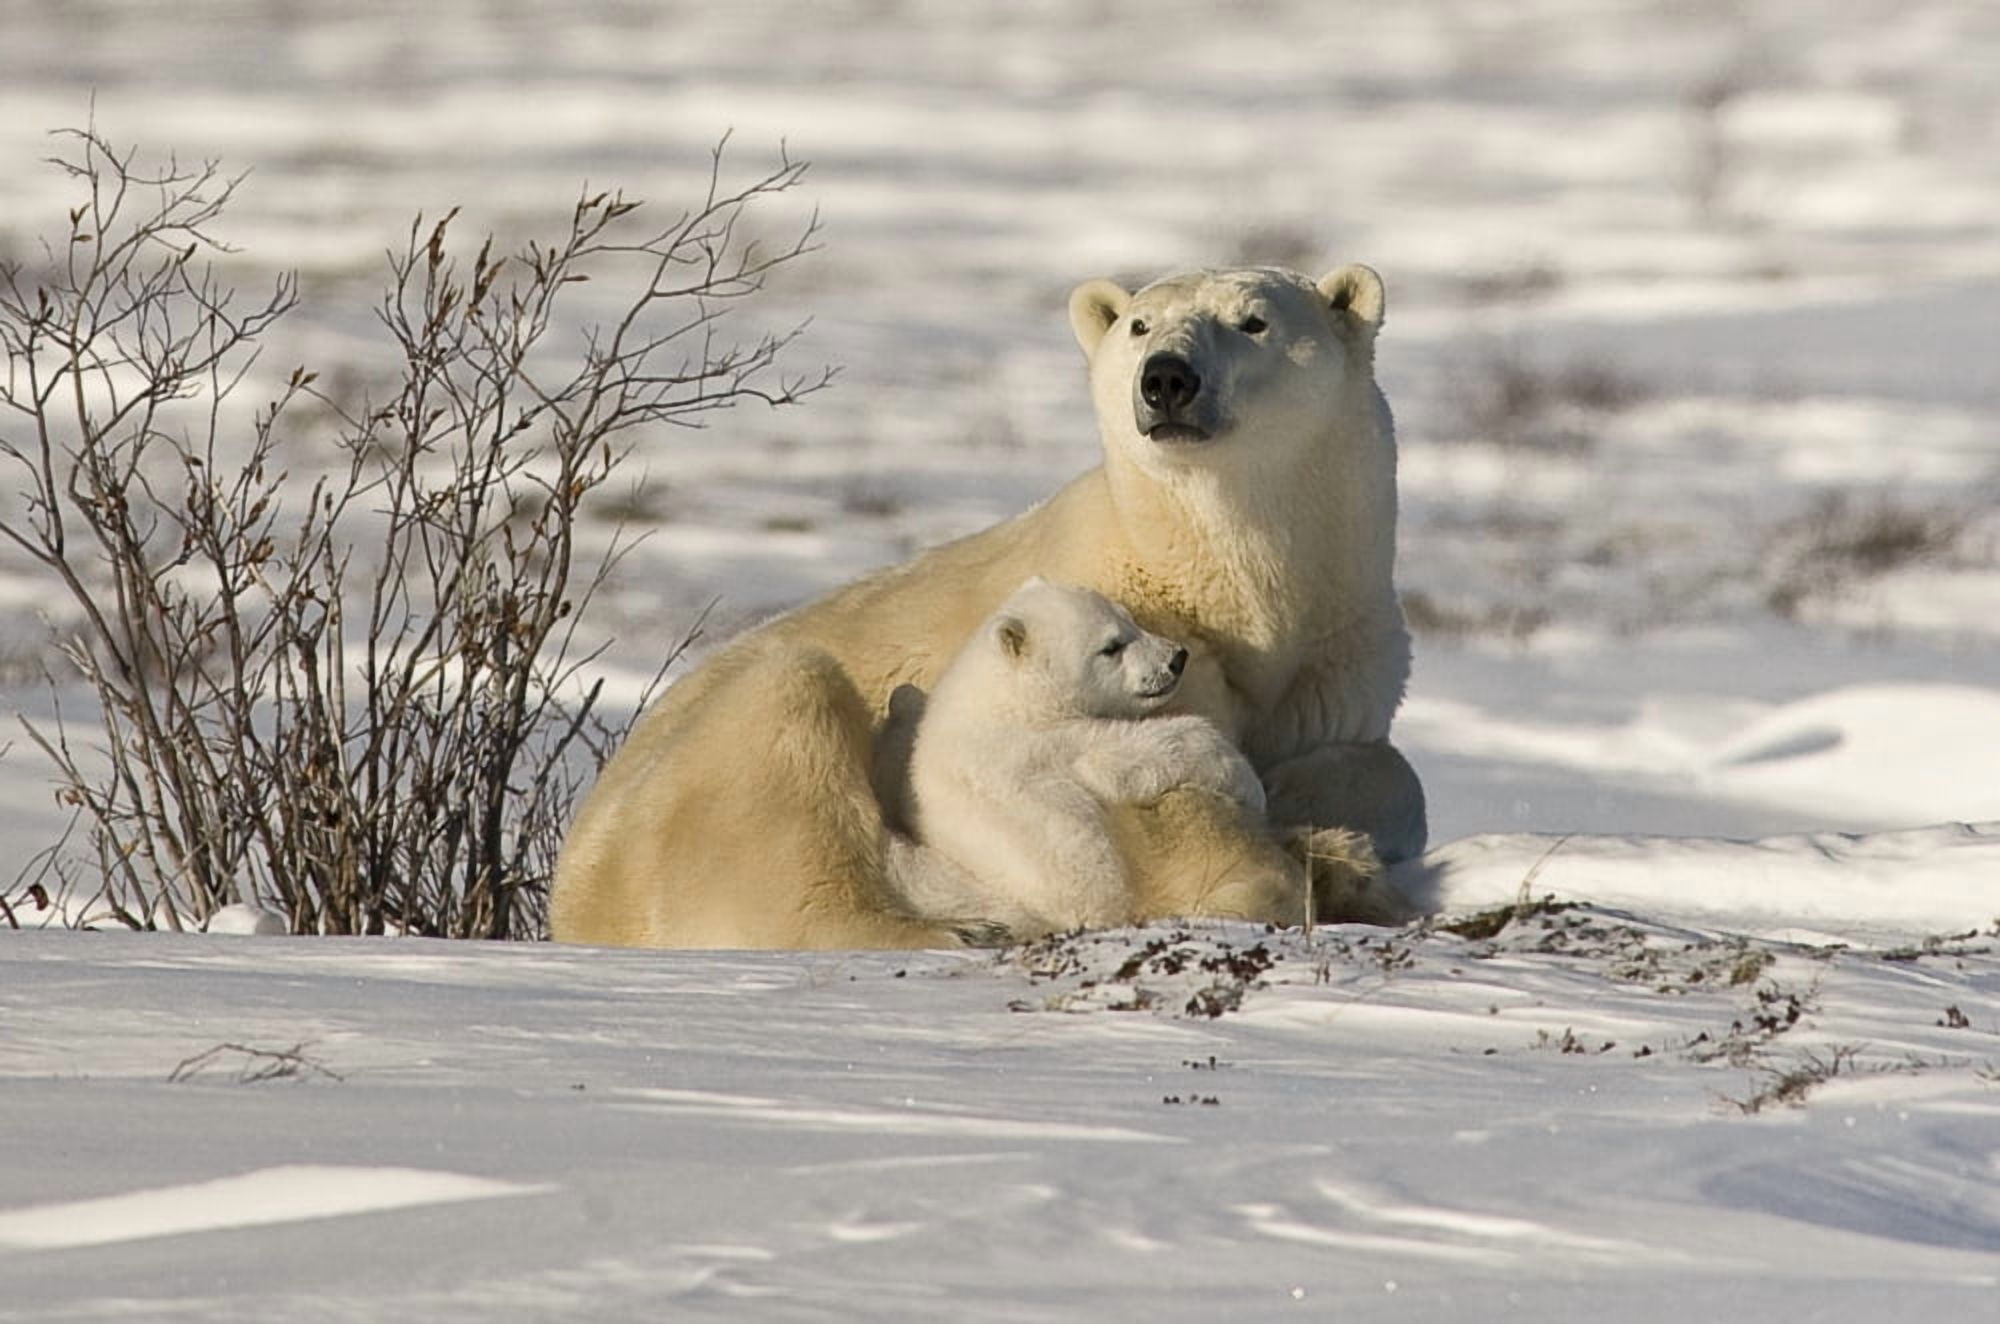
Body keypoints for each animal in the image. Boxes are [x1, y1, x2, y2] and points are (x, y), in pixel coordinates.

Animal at [896, 577, 1270, 940]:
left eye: (1131, 620)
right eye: (1111, 646)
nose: (1176, 658)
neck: (1008, 697)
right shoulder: (1038, 745)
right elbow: (1124, 753)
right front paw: (1246, 781)